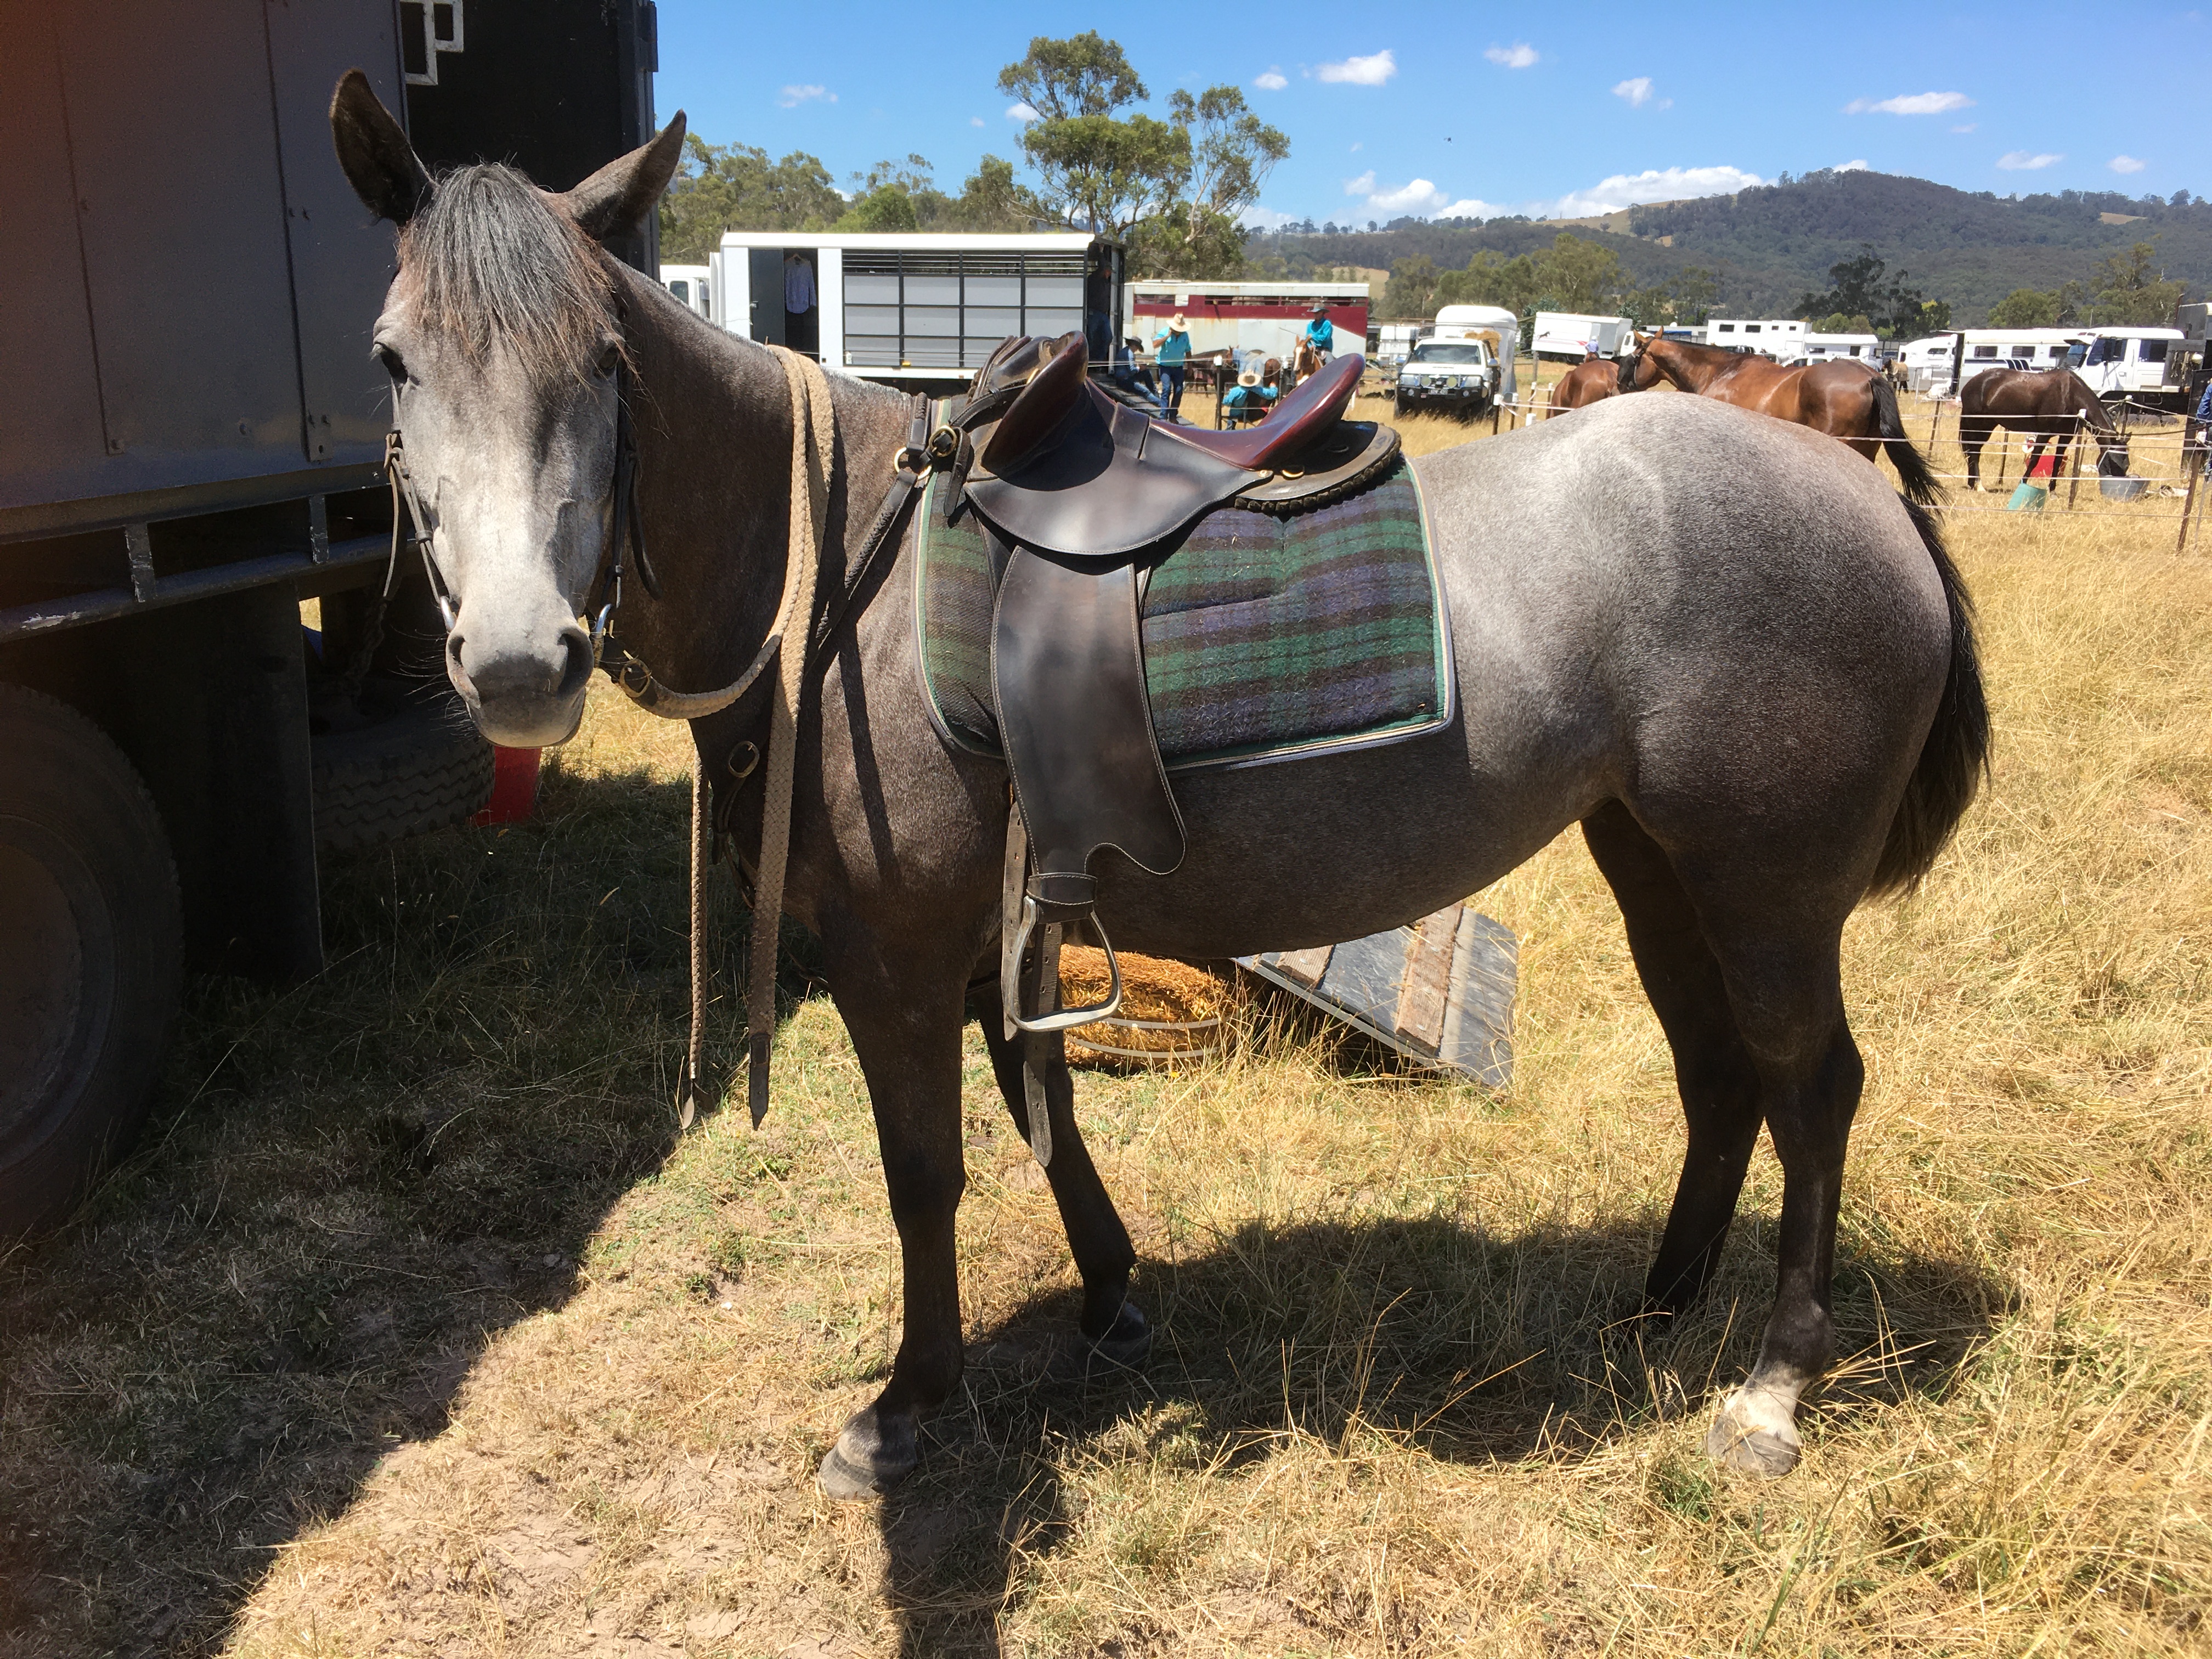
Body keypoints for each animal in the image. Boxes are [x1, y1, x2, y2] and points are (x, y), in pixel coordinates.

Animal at [1957, 367, 2129, 491]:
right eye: (2114, 463)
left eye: (2127, 465)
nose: (2117, 488)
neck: (2070, 395)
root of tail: (1970, 384)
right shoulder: (2044, 434)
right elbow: (2034, 459)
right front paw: (2023, 483)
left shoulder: (2066, 437)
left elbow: (2057, 462)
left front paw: (2052, 490)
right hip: (1979, 425)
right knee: (1974, 452)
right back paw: (1979, 486)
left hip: (1987, 425)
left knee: (1974, 451)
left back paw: (1973, 484)